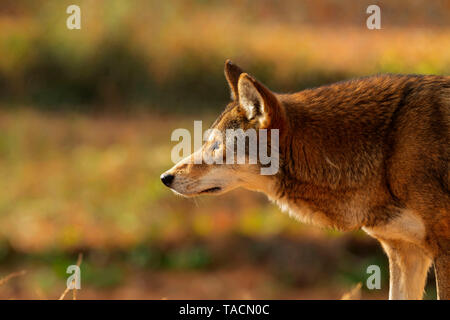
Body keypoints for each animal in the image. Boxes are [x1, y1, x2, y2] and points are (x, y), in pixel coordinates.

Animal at [163, 60, 450, 300]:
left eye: (216, 146)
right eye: (207, 142)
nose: (165, 177)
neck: (388, 149)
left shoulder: (441, 250)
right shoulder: (405, 253)